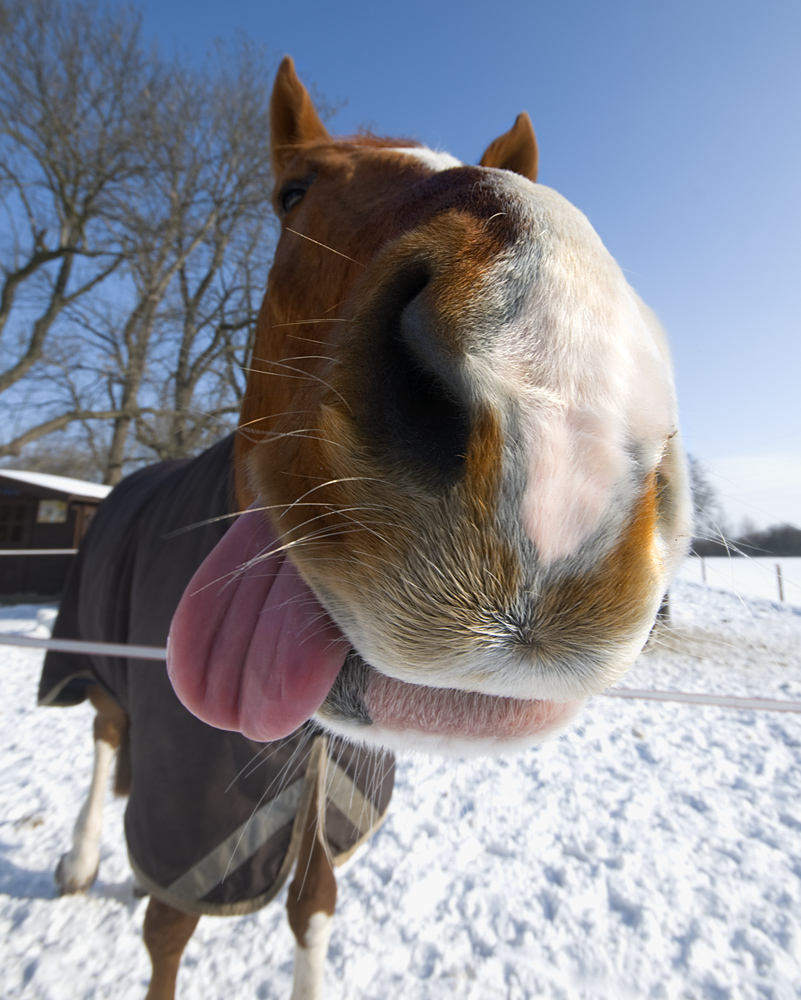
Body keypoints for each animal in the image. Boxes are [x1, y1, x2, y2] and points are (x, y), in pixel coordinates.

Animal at [42, 56, 688, 1000]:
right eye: (292, 192)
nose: (564, 437)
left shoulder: (322, 807)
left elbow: (312, 909)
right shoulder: (191, 825)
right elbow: (167, 932)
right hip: (95, 665)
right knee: (102, 736)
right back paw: (83, 857)